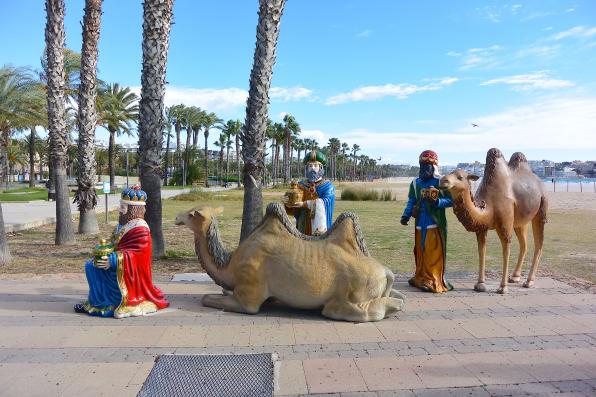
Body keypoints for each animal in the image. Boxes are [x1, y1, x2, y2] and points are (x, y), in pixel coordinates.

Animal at [440, 147, 548, 292]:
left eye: (460, 177)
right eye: (449, 173)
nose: (443, 181)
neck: (488, 206)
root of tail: (540, 181)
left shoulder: (504, 225)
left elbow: (506, 251)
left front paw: (502, 287)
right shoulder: (481, 228)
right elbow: (481, 251)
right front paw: (480, 284)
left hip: (541, 210)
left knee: (539, 244)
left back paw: (529, 281)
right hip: (520, 221)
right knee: (524, 245)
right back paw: (515, 277)